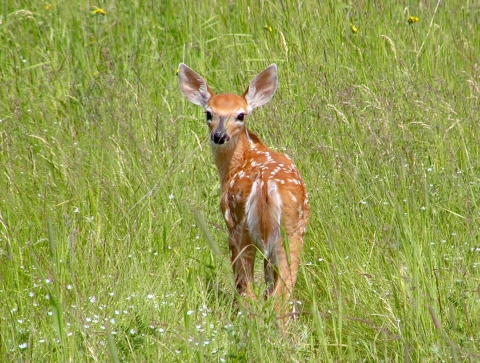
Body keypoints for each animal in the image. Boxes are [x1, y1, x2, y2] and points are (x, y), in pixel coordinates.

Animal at [178, 64, 310, 320]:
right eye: (208, 113)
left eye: (240, 115)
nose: (219, 136)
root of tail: (264, 185)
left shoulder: (230, 221)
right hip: (290, 231)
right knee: (280, 295)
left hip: (241, 226)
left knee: (249, 293)